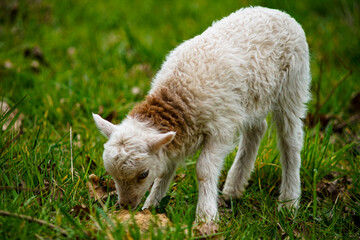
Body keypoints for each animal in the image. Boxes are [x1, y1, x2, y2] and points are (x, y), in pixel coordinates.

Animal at [93, 5, 310, 228]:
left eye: (143, 175)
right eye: (112, 175)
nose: (126, 206)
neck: (178, 97)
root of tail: (276, 11)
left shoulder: (221, 127)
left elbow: (203, 169)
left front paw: (206, 217)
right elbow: (165, 169)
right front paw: (151, 207)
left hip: (293, 84)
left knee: (290, 140)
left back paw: (289, 202)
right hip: (253, 99)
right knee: (257, 130)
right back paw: (233, 189)